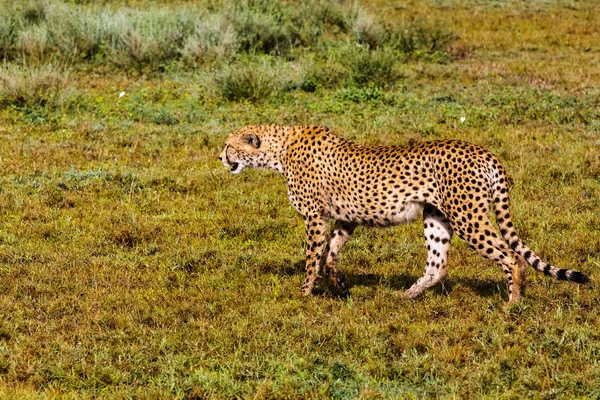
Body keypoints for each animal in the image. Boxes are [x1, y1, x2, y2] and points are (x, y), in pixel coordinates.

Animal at [218, 124, 588, 304]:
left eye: (229, 145)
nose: (220, 157)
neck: (279, 150)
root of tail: (483, 150)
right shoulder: (345, 217)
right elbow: (332, 252)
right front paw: (339, 283)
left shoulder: (315, 217)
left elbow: (312, 257)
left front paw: (305, 293)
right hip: (436, 218)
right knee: (438, 266)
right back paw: (405, 296)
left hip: (468, 216)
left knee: (512, 257)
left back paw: (512, 304)